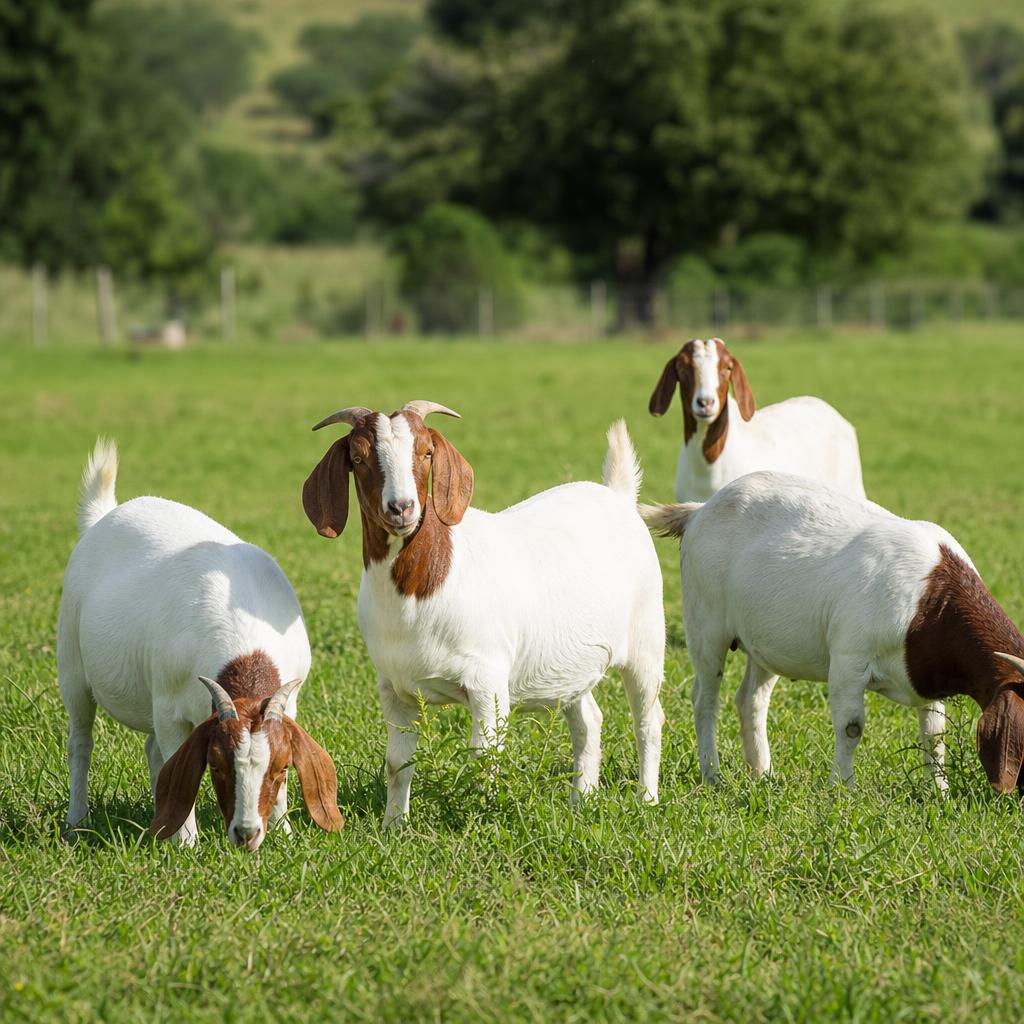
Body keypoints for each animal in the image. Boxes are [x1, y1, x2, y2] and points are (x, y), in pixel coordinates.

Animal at [58, 439, 344, 849]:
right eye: (219, 766)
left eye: (278, 768)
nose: (246, 834)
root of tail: (104, 516)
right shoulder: (169, 709)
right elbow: (179, 766)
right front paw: (187, 843)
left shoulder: (289, 703)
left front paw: (284, 832)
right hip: (72, 666)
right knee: (81, 742)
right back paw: (77, 820)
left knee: (150, 750)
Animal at [303, 402, 665, 827]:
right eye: (358, 459)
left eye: (426, 453)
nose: (401, 508)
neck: (419, 590)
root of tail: (618, 496)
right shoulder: (394, 689)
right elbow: (397, 762)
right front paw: (394, 825)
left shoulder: (486, 682)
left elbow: (484, 755)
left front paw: (482, 816)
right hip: (570, 663)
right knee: (588, 720)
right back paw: (582, 800)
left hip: (647, 642)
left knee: (648, 720)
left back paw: (647, 799)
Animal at [642, 470, 1024, 793]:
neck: (930, 597)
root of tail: (699, 511)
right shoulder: (849, 659)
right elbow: (851, 726)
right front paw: (843, 787)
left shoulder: (928, 679)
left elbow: (935, 735)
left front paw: (940, 793)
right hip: (705, 624)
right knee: (705, 697)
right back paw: (713, 774)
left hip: (766, 642)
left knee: (750, 698)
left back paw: (762, 772)